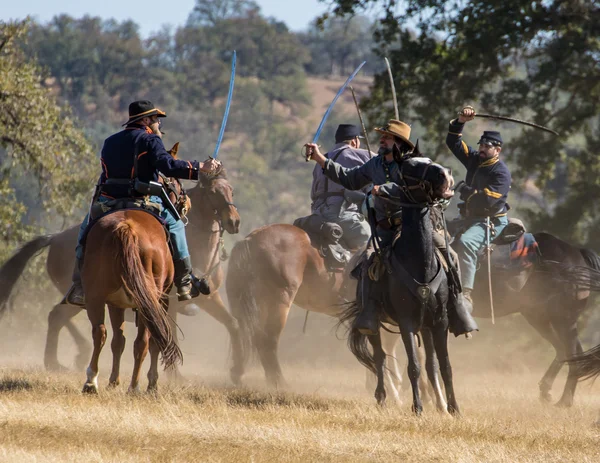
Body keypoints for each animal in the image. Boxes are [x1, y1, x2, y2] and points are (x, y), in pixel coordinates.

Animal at [0, 165, 241, 376]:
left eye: (230, 189)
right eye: (213, 192)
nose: (234, 221)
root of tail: (55, 238)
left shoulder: (210, 297)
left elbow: (233, 324)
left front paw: (236, 369)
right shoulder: (168, 301)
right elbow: (167, 332)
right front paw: (175, 375)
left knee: (57, 316)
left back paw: (59, 360)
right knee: (58, 316)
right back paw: (64, 358)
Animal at [340, 158, 458, 416]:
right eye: (411, 167)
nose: (446, 174)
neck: (419, 263)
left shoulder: (439, 321)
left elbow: (444, 366)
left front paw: (454, 409)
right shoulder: (406, 322)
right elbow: (413, 366)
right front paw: (418, 408)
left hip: (425, 328)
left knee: (430, 365)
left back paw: (440, 405)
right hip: (375, 325)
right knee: (380, 358)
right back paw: (382, 398)